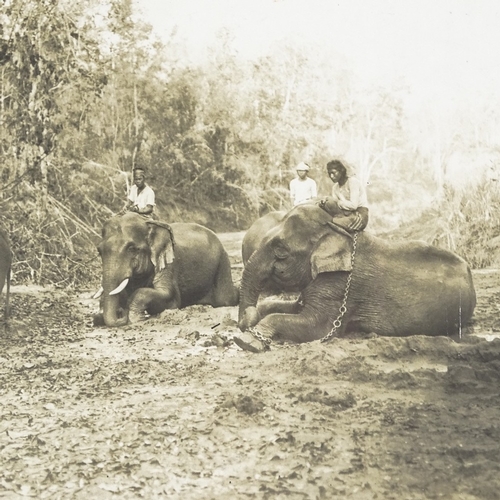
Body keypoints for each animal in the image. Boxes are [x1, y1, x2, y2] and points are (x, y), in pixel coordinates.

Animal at [96, 212, 242, 326]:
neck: (149, 224)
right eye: (99, 250)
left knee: (226, 299)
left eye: (131, 249)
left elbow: (170, 298)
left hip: (222, 262)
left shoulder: (169, 262)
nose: (121, 314)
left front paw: (136, 317)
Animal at [234, 203, 476, 352]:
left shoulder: (338, 285)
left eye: (281, 250)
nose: (244, 318)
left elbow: (317, 328)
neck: (336, 232)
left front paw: (247, 341)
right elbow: (286, 307)